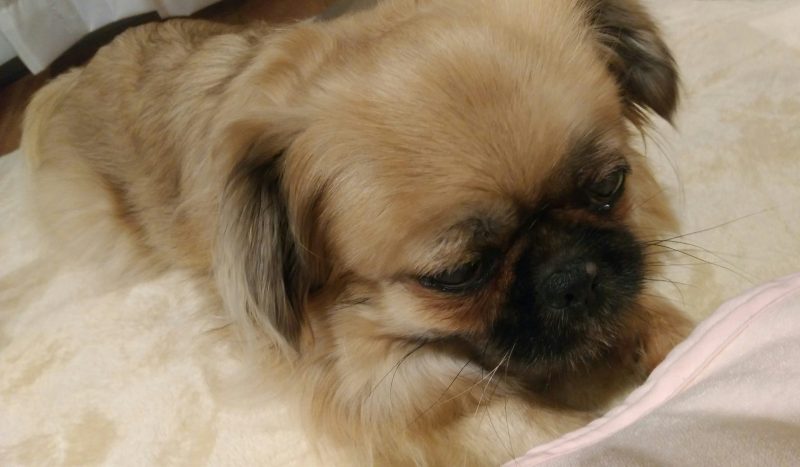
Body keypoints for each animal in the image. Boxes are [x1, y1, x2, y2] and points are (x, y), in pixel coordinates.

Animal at [22, 0, 692, 464]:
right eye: (458, 274)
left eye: (609, 186)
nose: (571, 276)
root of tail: (76, 74)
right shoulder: (377, 390)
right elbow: (529, 425)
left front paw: (679, 340)